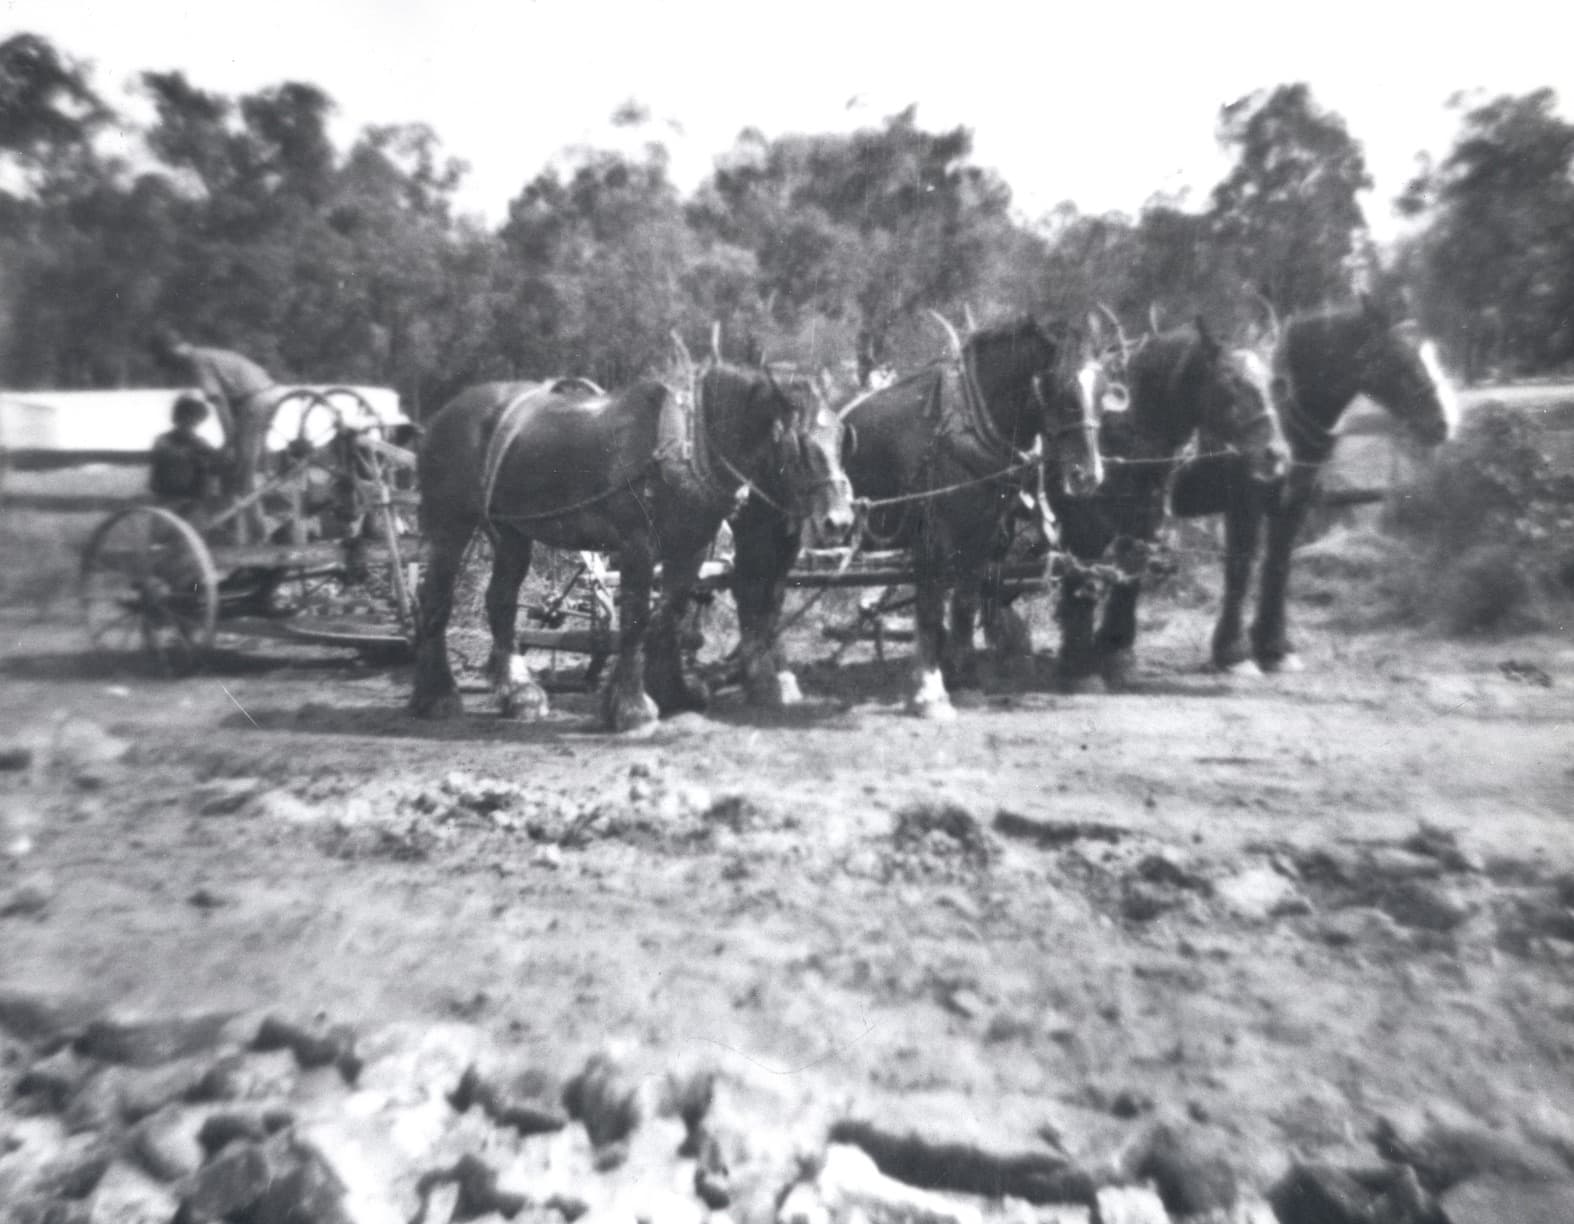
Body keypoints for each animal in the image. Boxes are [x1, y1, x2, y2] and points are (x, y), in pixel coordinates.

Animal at [406, 357, 849, 729]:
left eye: (842, 437)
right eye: (800, 444)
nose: (839, 522)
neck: (686, 448)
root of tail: (442, 416)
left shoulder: (688, 549)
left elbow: (669, 614)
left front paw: (674, 692)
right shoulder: (637, 546)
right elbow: (636, 619)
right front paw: (632, 707)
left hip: (512, 533)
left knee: (500, 600)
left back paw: (520, 695)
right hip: (450, 525)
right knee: (435, 599)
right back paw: (438, 696)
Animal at [768, 309, 1114, 720]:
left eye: (1103, 390)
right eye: (1059, 390)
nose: (1088, 475)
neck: (966, 426)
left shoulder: (982, 534)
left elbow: (963, 604)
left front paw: (965, 681)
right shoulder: (932, 537)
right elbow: (931, 610)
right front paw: (929, 693)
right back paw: (776, 677)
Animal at [1045, 319, 1290, 685]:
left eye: (1273, 386)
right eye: (1229, 384)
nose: (1277, 454)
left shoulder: (1147, 515)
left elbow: (1131, 571)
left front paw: (1115, 653)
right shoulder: (1082, 520)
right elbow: (1083, 577)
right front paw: (1078, 665)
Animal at [1177, 298, 1454, 673]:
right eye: (1398, 359)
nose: (1442, 424)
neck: (1281, 415)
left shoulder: (1293, 503)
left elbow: (1278, 564)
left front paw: (1274, 647)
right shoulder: (1244, 504)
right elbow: (1240, 567)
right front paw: (1231, 652)